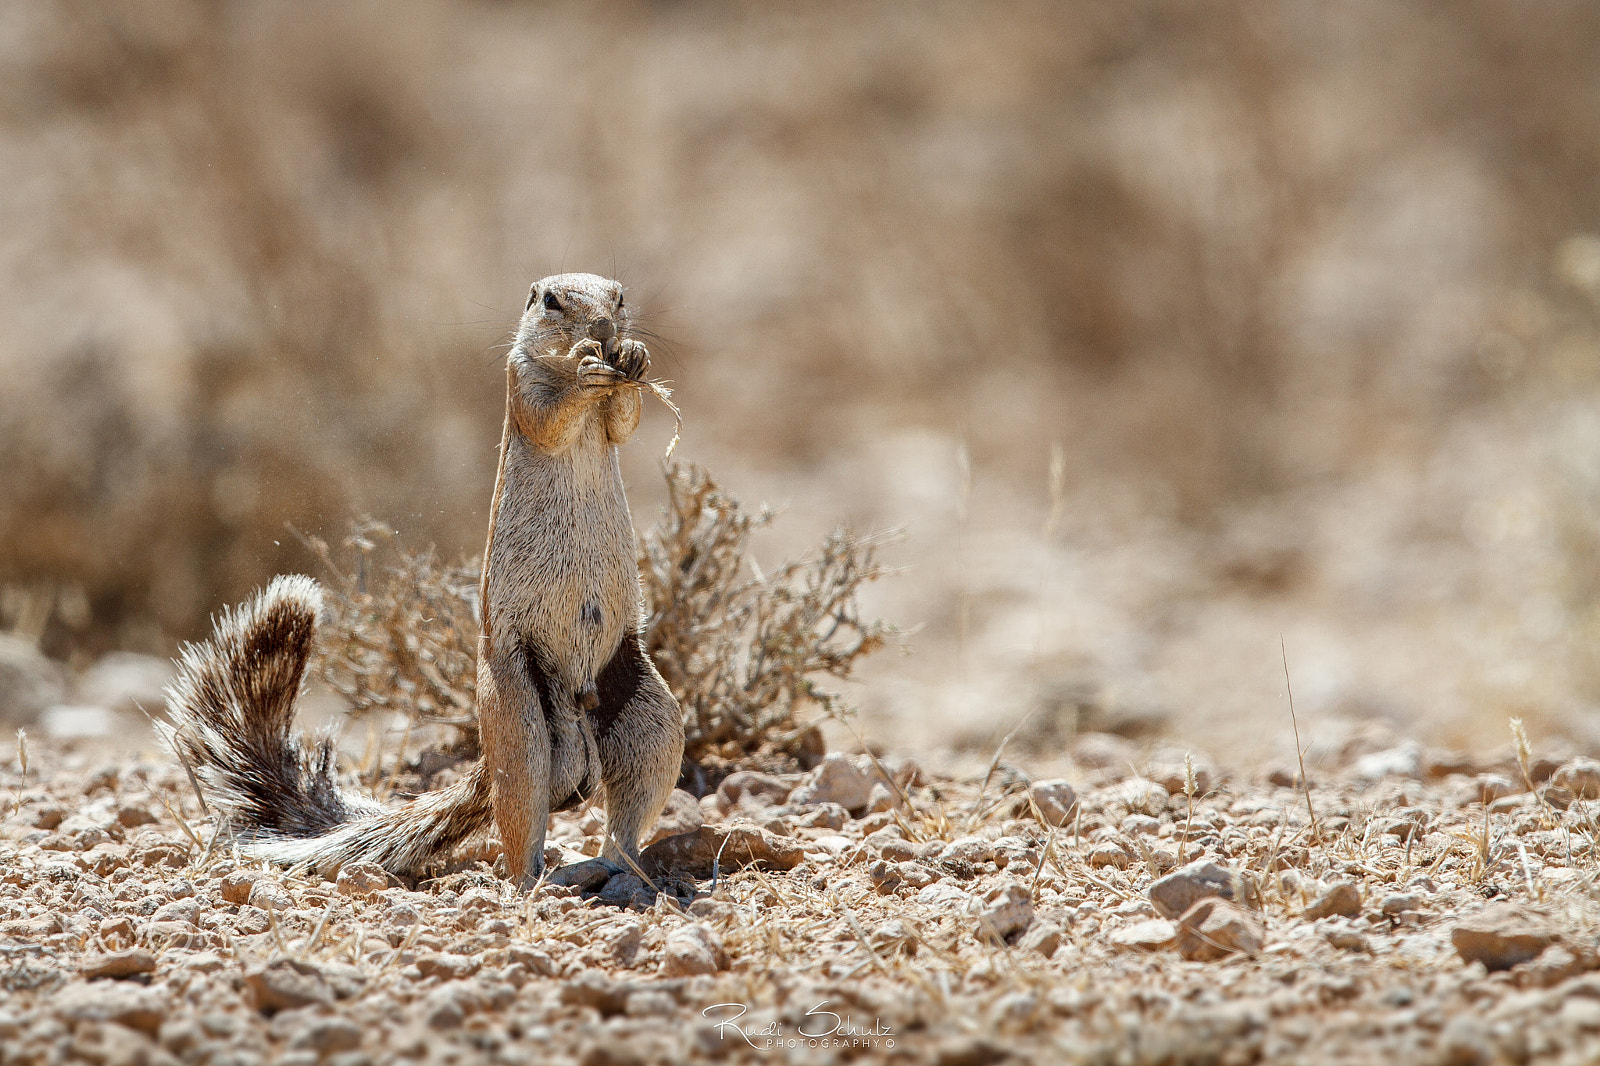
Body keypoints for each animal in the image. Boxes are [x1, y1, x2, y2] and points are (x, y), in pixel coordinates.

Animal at [159, 275, 684, 889]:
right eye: (551, 301)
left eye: (619, 297)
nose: (603, 329)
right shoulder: (521, 388)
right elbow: (549, 417)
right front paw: (585, 364)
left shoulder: (610, 416)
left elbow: (624, 420)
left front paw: (634, 358)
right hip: (520, 719)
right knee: (519, 818)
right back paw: (537, 883)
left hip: (649, 715)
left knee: (628, 806)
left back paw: (617, 871)